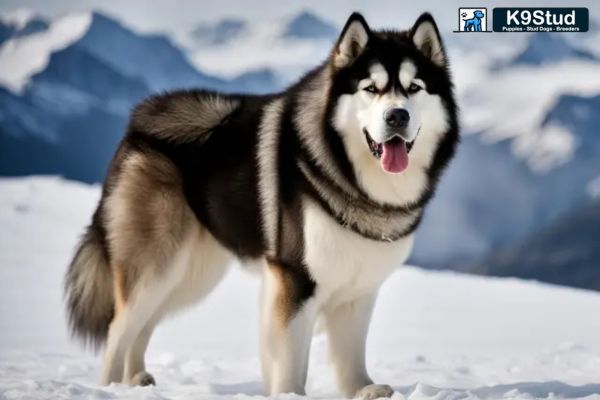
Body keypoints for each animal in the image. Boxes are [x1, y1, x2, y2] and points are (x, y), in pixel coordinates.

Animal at [65, 10, 458, 398]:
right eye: (370, 89)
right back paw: (111, 386)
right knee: (120, 327)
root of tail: (140, 119)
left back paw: (136, 379)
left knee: (145, 323)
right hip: (157, 263)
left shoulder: (359, 288)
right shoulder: (294, 276)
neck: (356, 180)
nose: (397, 116)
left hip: (193, 272)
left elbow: (349, 351)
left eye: (414, 88)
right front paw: (289, 394)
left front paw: (362, 389)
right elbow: (290, 356)